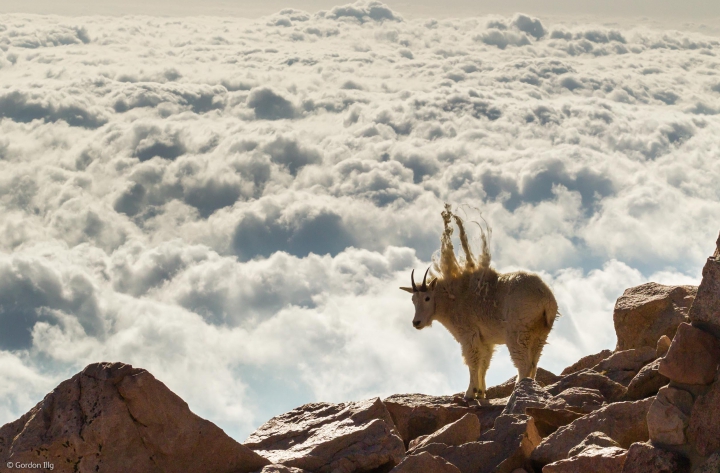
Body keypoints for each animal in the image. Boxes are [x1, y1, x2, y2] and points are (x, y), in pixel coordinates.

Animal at [400, 206, 556, 398]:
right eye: (413, 299)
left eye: (427, 298)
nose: (417, 322)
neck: (453, 298)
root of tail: (546, 299)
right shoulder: (485, 339)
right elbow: (484, 364)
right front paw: (481, 392)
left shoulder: (469, 334)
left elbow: (472, 361)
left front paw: (469, 394)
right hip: (540, 333)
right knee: (534, 362)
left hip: (518, 333)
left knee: (524, 363)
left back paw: (517, 391)